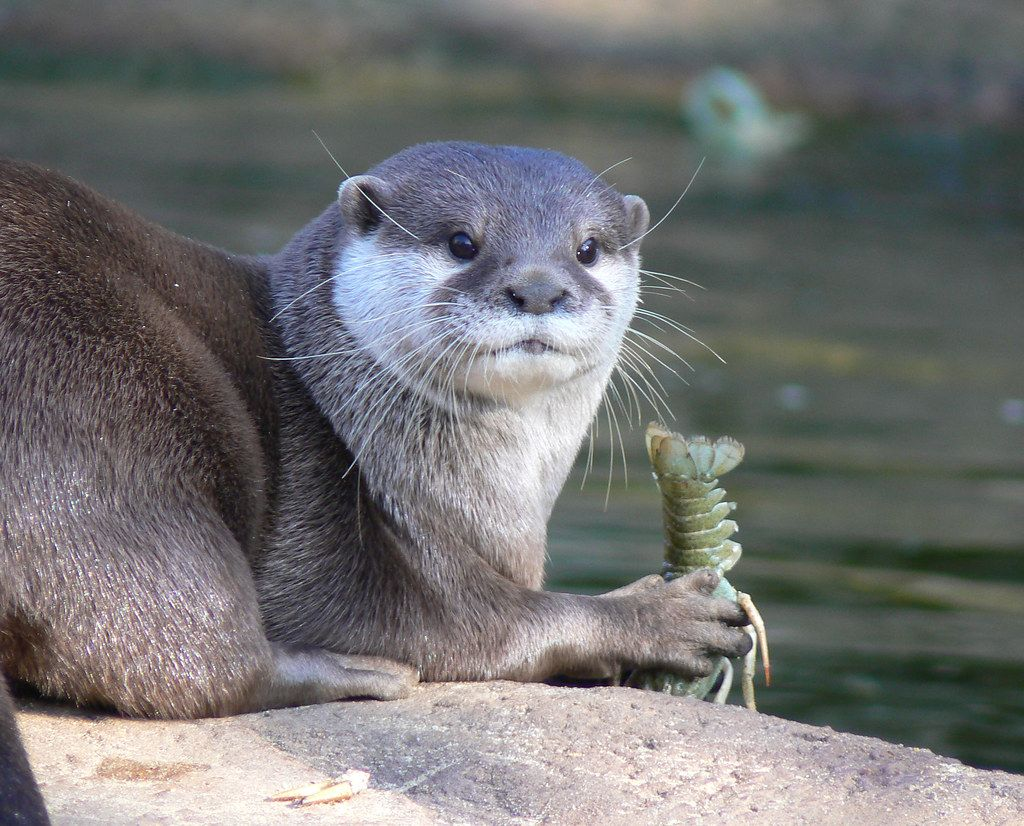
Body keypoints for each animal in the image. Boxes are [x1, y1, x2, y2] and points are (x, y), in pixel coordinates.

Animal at [0, 142, 753, 806]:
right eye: (461, 241)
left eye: (587, 248)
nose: (538, 287)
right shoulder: (357, 558)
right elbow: (492, 624)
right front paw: (658, 615)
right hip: (107, 440)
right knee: (192, 654)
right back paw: (357, 671)